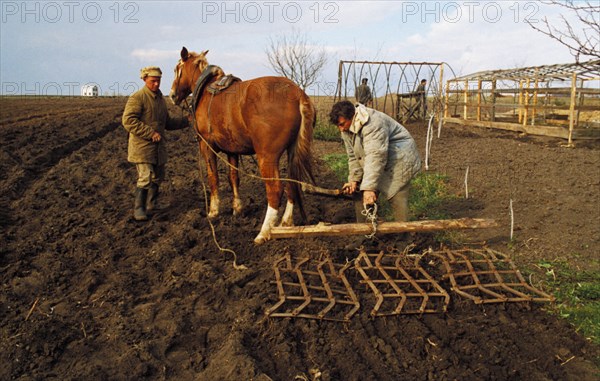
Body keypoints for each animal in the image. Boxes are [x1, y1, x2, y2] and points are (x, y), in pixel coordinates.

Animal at [170, 47, 314, 243]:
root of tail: (297, 94)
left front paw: (213, 210)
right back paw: (286, 222)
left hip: (266, 157)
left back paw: (264, 232)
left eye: (177, 68)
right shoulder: (232, 149)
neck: (206, 91)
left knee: (275, 190)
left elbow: (213, 177)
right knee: (292, 184)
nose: (172, 95)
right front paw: (237, 207)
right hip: (292, 151)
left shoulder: (207, 146)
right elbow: (233, 177)